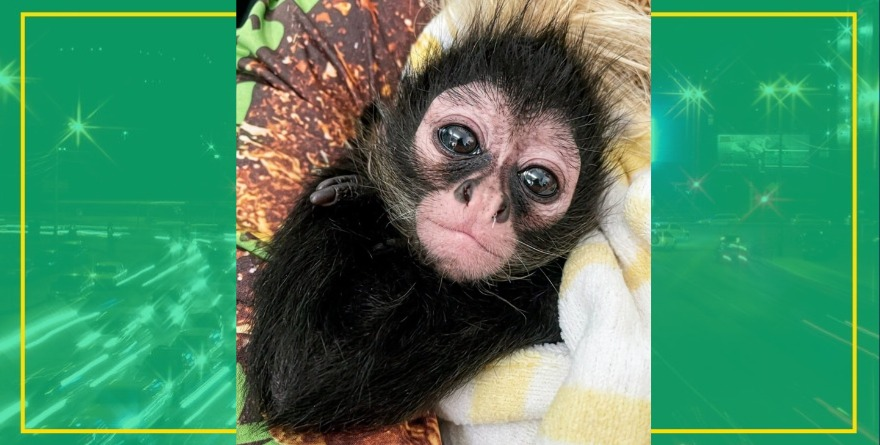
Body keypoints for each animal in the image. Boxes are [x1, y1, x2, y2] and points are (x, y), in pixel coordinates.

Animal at [244, 2, 636, 435]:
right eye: (460, 140)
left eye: (538, 181)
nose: (486, 200)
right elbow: (294, 369)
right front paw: (360, 187)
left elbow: (302, 375)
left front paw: (361, 194)